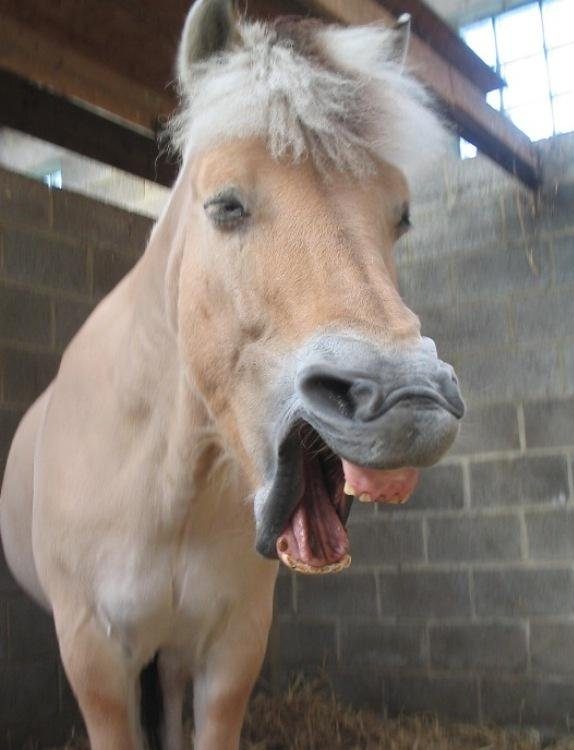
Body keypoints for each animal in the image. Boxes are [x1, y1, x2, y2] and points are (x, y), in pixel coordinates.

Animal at [0, 0, 464, 748]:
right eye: (224, 205)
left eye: (401, 216)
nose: (408, 401)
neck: (167, 483)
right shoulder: (93, 656)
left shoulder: (232, 649)